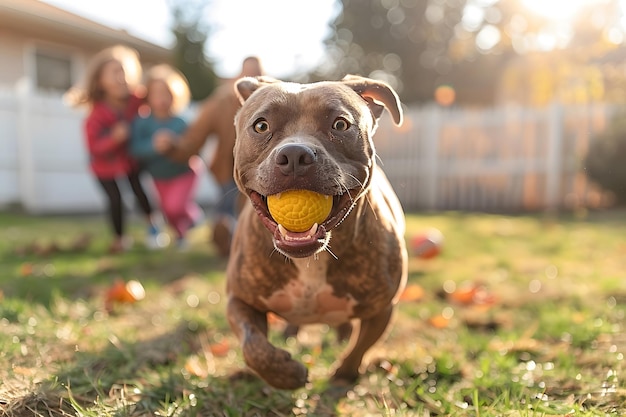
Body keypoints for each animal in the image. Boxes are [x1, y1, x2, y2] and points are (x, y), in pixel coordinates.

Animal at [227, 75, 408, 390]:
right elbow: (253, 347)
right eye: (261, 126)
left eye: (340, 124)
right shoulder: (239, 299)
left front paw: (345, 374)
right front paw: (286, 374)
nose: (294, 154)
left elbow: (362, 346)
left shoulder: (382, 307)